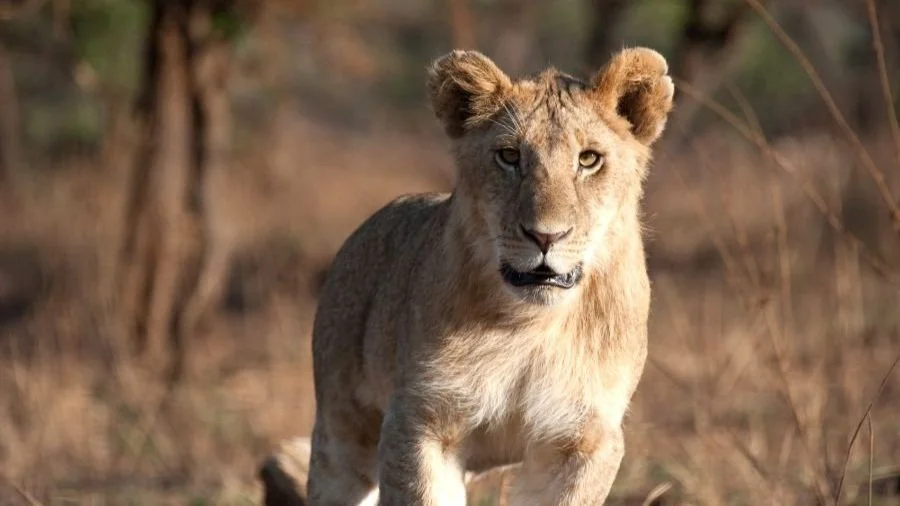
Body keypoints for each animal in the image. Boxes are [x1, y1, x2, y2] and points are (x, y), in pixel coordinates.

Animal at [306, 46, 674, 506]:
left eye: (589, 159)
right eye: (510, 156)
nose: (546, 235)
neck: (531, 325)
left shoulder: (583, 438)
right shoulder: (421, 421)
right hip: (341, 432)